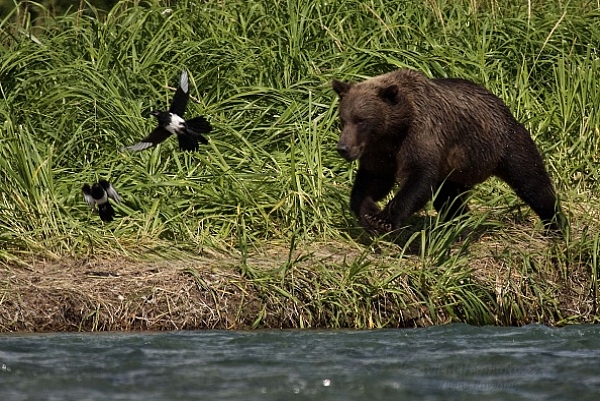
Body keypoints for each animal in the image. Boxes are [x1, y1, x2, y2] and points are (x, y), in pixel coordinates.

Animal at [332, 67, 568, 233]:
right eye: (343, 119)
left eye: (361, 120)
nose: (343, 148)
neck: (396, 128)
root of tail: (506, 109)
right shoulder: (380, 149)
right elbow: (374, 179)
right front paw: (368, 211)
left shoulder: (422, 135)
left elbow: (418, 177)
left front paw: (384, 219)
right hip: (458, 167)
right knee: (448, 198)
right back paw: (459, 220)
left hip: (505, 145)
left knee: (532, 182)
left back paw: (556, 225)